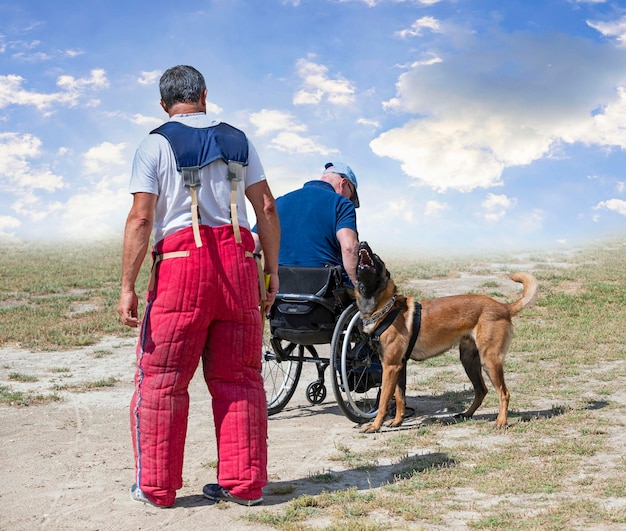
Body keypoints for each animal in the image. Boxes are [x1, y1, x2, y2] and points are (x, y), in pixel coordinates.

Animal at [356, 241, 536, 432]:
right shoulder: (399, 366)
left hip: (490, 360)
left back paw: (501, 422)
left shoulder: (390, 367)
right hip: (469, 361)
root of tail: (504, 307)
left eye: (376, 257)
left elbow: (384, 401)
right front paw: (397, 421)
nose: (363, 242)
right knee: (482, 390)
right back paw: (466, 414)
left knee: (504, 393)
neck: (385, 309)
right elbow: (399, 397)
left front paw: (375, 425)